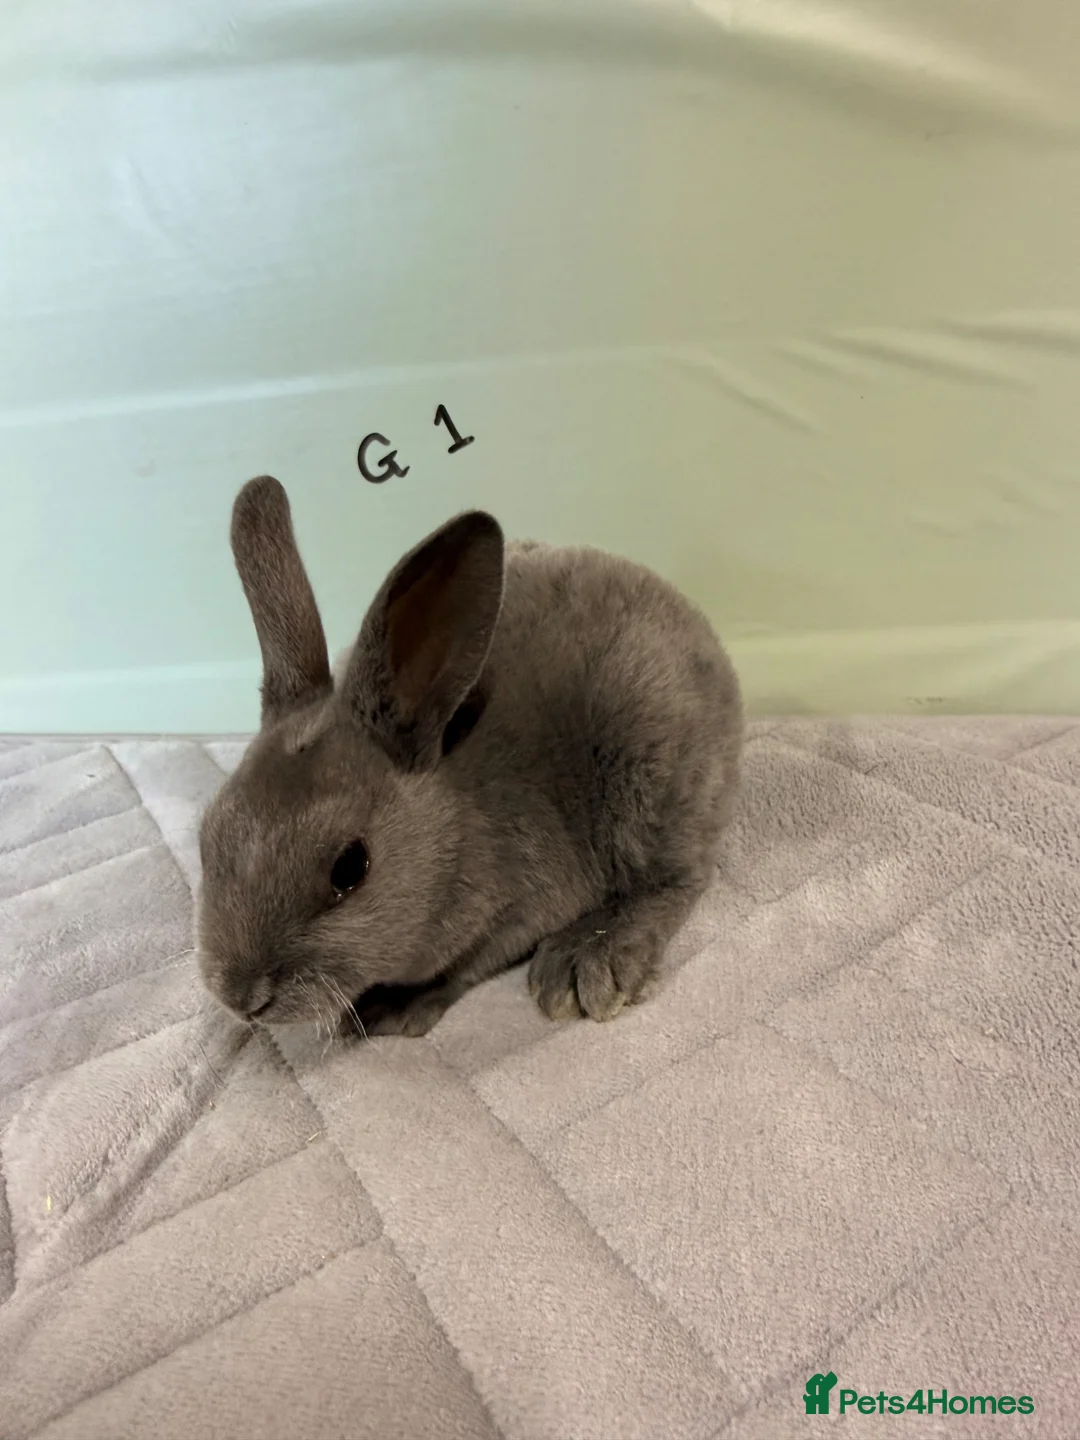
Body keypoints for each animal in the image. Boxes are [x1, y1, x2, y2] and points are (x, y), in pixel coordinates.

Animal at [196, 475, 743, 1039]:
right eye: (207, 840)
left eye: (349, 869)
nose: (241, 998)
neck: (454, 835)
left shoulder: (521, 907)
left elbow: (467, 964)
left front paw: (390, 1009)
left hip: (651, 773)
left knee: (676, 879)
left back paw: (585, 963)